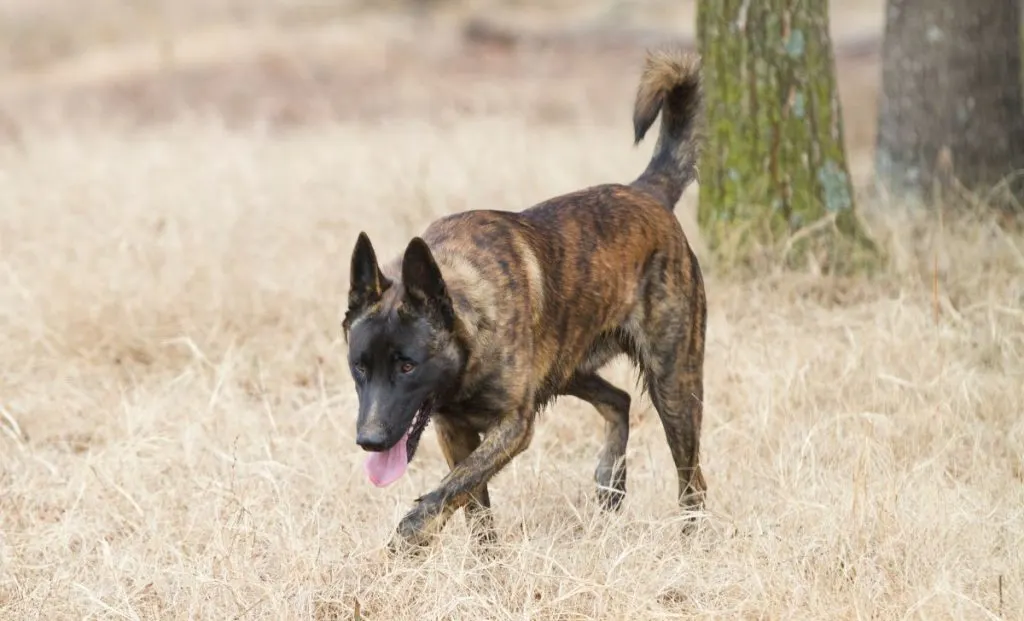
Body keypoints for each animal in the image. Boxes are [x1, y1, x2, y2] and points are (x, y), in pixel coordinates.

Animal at [339, 49, 708, 553]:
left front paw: (412, 534)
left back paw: (692, 539)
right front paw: (485, 563)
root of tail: (645, 193)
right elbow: (472, 501)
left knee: (692, 478)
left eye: (408, 366)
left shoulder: (514, 424)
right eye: (359, 366)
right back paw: (610, 477)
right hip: (567, 368)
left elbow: (451, 489)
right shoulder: (454, 429)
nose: (370, 442)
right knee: (619, 399)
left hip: (674, 387)